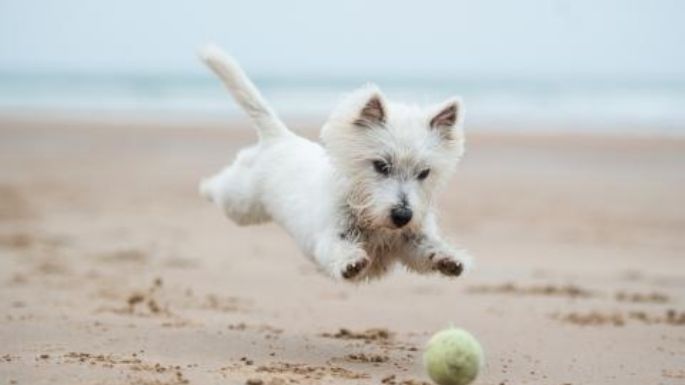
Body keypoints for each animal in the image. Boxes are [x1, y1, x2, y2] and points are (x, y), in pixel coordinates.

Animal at [198, 45, 470, 282]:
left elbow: (426, 247)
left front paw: (449, 258)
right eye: (381, 166)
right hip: (241, 203)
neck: (370, 218)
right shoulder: (330, 235)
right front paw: (351, 262)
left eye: (424, 173)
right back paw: (205, 187)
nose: (403, 215)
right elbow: (338, 247)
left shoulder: (409, 241)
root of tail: (281, 137)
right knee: (222, 186)